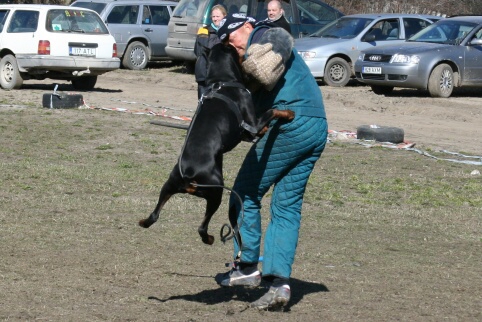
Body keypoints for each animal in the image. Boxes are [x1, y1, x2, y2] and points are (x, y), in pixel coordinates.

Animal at [137, 42, 292, 247]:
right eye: (235, 49)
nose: (245, 52)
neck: (222, 81)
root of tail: (189, 175)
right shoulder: (252, 124)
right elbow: (272, 111)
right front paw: (288, 114)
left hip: (169, 185)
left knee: (154, 215)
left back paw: (143, 221)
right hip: (216, 193)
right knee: (201, 227)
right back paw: (210, 238)